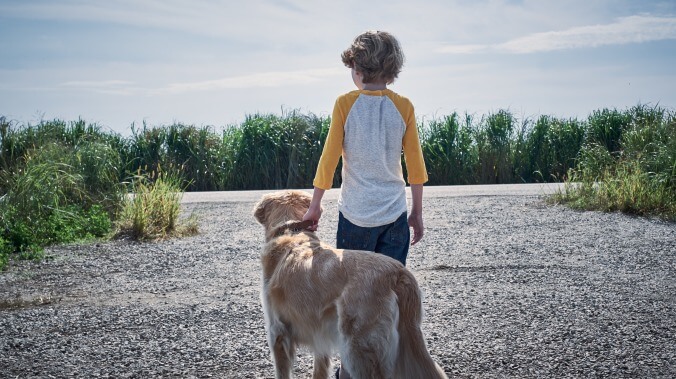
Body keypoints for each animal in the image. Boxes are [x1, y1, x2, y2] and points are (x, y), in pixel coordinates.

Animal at [251, 191, 446, 379]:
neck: (292, 232)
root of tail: (397, 272)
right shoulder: (319, 334)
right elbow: (320, 369)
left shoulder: (277, 331)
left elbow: (282, 372)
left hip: (359, 347)